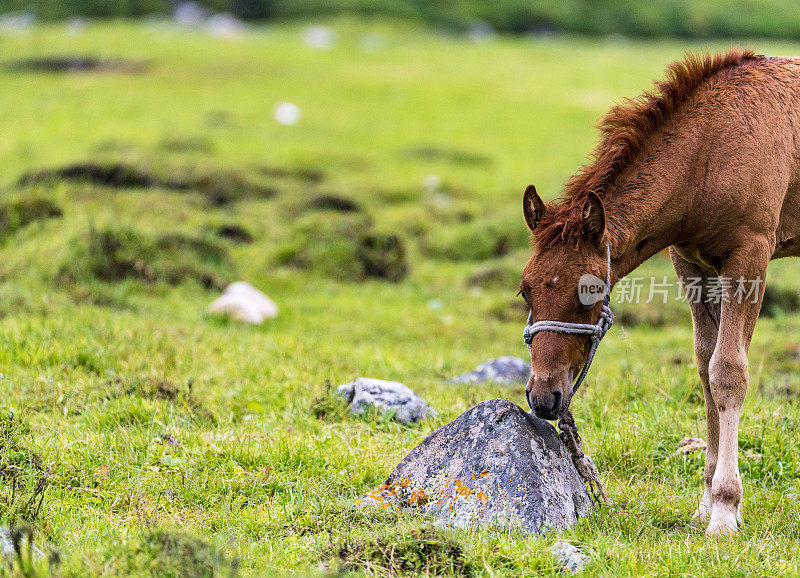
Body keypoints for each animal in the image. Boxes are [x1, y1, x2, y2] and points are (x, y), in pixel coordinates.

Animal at [520, 49, 800, 536]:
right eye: (524, 290)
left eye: (590, 292)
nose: (543, 396)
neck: (709, 150)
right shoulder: (691, 261)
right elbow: (705, 368)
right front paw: (705, 504)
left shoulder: (751, 252)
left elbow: (729, 371)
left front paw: (725, 510)